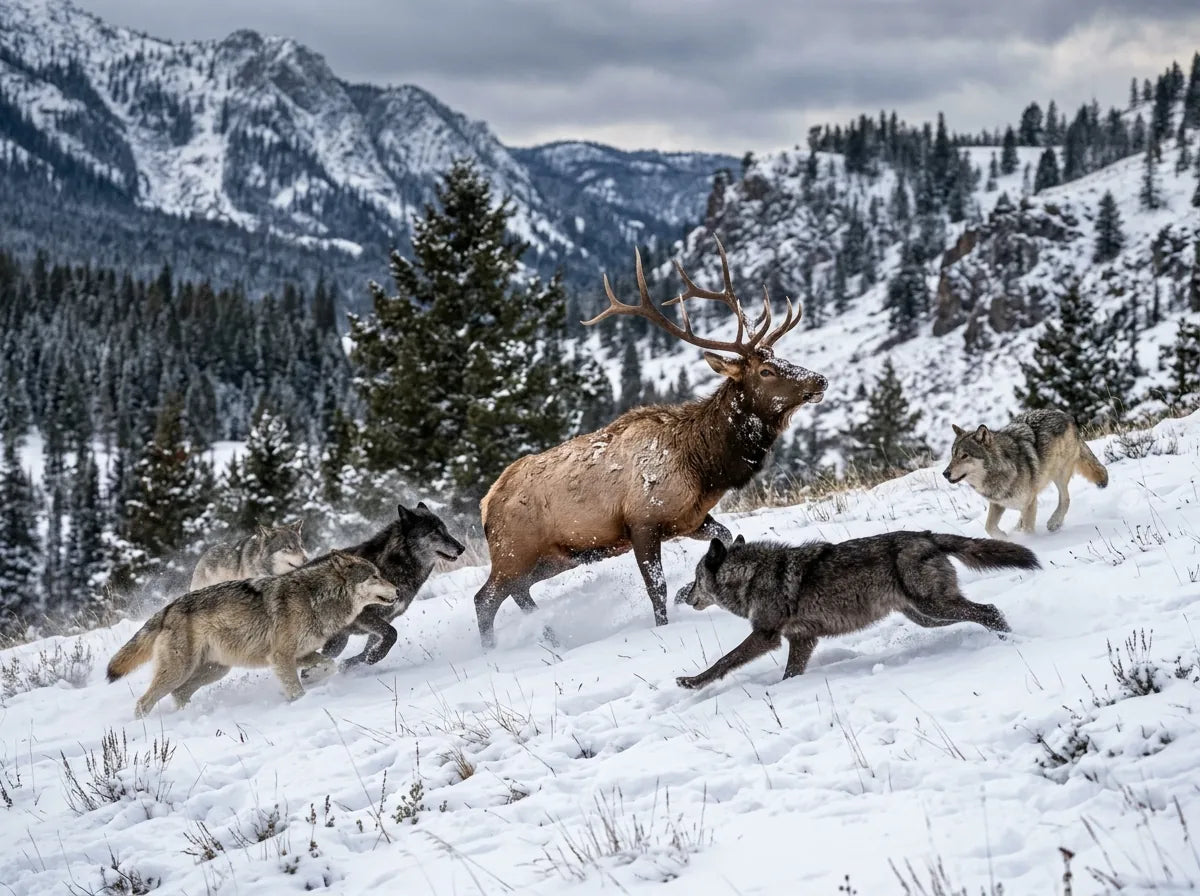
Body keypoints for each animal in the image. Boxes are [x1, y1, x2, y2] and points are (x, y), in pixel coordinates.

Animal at [107, 552, 400, 717]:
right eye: (375, 576)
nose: (398, 591)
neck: (315, 597)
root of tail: (167, 609)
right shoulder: (281, 657)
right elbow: (297, 689)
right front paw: (302, 702)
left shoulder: (298, 654)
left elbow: (329, 664)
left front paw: (315, 677)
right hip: (180, 671)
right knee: (144, 702)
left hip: (214, 671)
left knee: (179, 694)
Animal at [316, 502, 465, 668]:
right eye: (435, 532)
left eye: (445, 529)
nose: (462, 548)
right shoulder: (364, 616)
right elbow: (392, 634)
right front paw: (371, 657)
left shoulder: (386, 619)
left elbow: (370, 650)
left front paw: (358, 661)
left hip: (338, 642)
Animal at [472, 241, 828, 649]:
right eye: (766, 371)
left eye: (782, 358)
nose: (819, 380)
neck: (704, 468)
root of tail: (486, 504)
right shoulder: (642, 520)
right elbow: (655, 587)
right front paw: (664, 625)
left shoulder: (689, 518)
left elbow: (723, 536)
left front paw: (689, 591)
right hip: (513, 551)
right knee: (485, 599)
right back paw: (494, 649)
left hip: (552, 557)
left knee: (518, 593)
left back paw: (551, 636)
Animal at [673, 532, 1039, 689]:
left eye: (696, 578)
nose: (685, 595)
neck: (751, 576)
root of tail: (926, 535)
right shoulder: (802, 641)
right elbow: (791, 673)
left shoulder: (766, 636)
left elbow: (724, 661)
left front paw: (692, 682)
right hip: (927, 617)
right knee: (986, 612)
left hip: (934, 607)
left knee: (989, 610)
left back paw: (1011, 644)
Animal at [942, 408, 1108, 538]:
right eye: (953, 455)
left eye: (964, 456)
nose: (945, 473)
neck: (1003, 468)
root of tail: (1064, 414)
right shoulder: (998, 503)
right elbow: (989, 527)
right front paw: (1004, 537)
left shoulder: (1029, 502)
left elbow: (1027, 530)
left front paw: (1029, 543)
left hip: (1058, 474)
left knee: (1065, 499)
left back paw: (1054, 523)